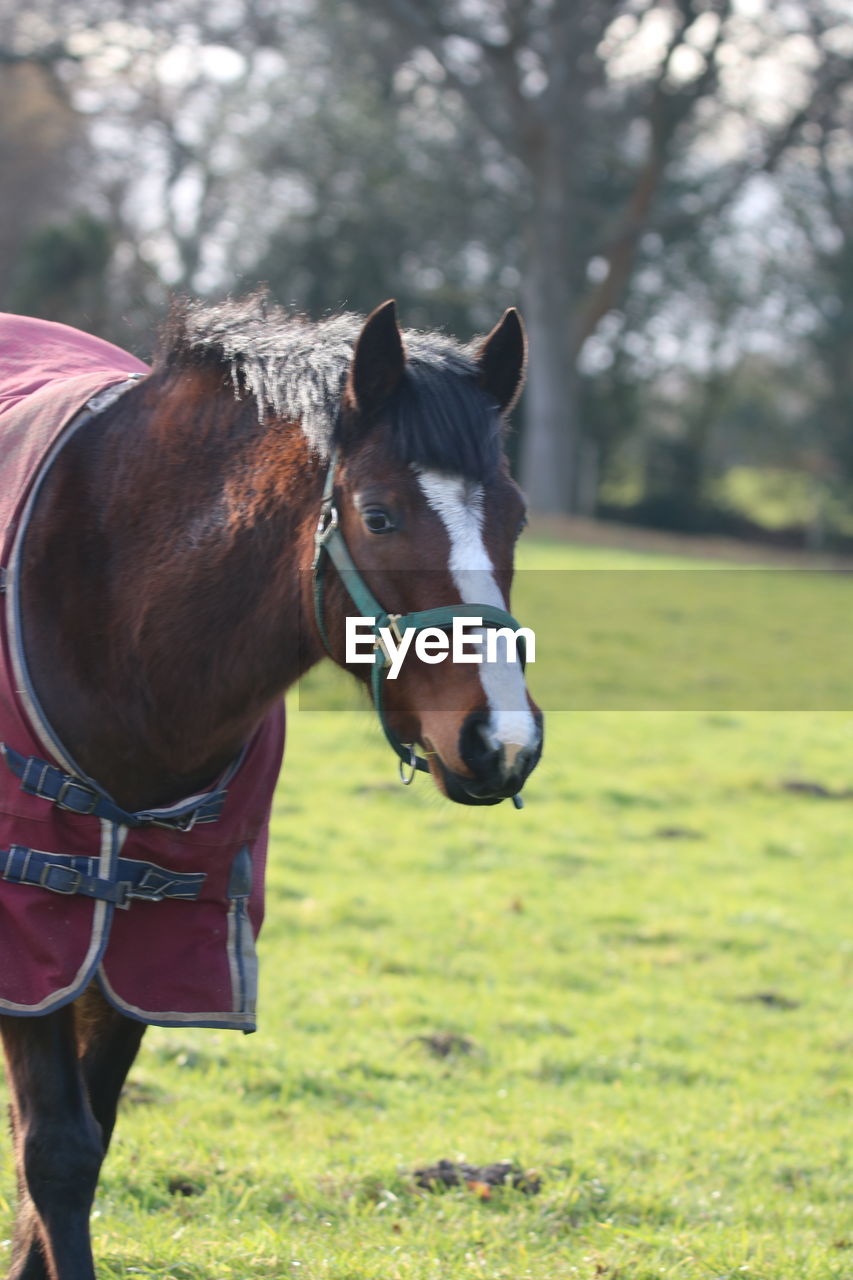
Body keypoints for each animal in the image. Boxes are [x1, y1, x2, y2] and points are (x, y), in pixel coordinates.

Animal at [0, 296, 540, 1280]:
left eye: (514, 519)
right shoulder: (33, 926)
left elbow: (80, 1141)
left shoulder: (150, 933)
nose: (503, 742)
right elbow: (54, 1150)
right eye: (379, 514)